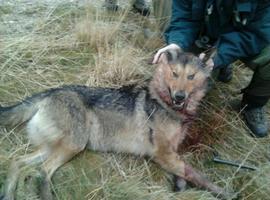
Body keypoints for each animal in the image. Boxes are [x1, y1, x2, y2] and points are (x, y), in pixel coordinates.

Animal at [0, 50, 227, 198]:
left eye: (191, 76)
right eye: (174, 74)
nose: (179, 96)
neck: (166, 104)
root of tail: (49, 92)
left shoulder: (169, 152)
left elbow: (183, 171)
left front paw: (179, 185)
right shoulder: (162, 153)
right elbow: (197, 174)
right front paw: (224, 192)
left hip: (53, 147)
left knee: (18, 162)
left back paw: (8, 193)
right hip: (74, 145)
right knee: (43, 172)